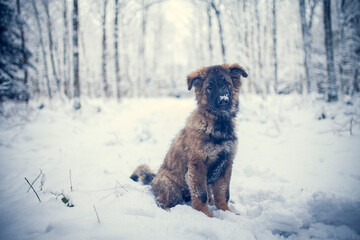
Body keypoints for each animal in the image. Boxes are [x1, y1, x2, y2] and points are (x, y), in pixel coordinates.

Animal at [131, 63, 249, 218]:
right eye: (209, 87)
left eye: (227, 84)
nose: (223, 100)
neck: (218, 124)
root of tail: (154, 178)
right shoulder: (198, 164)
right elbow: (201, 195)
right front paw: (206, 216)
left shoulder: (226, 163)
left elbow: (223, 193)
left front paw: (226, 212)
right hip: (172, 187)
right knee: (161, 201)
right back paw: (168, 211)